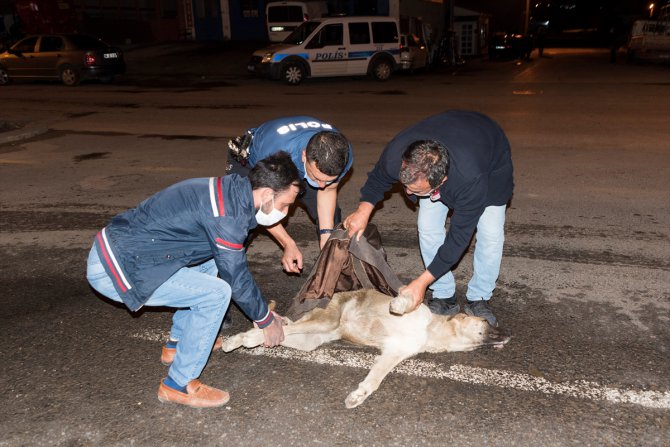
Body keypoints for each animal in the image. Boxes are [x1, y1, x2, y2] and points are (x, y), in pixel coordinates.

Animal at [220, 290, 510, 410]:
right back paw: (241, 339)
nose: (510, 335)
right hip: (325, 321)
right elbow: (403, 301)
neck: (430, 330)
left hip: (312, 339)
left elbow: (374, 381)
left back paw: (243, 339)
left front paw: (358, 396)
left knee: (282, 332)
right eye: (486, 323)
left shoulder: (393, 353)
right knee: (273, 330)